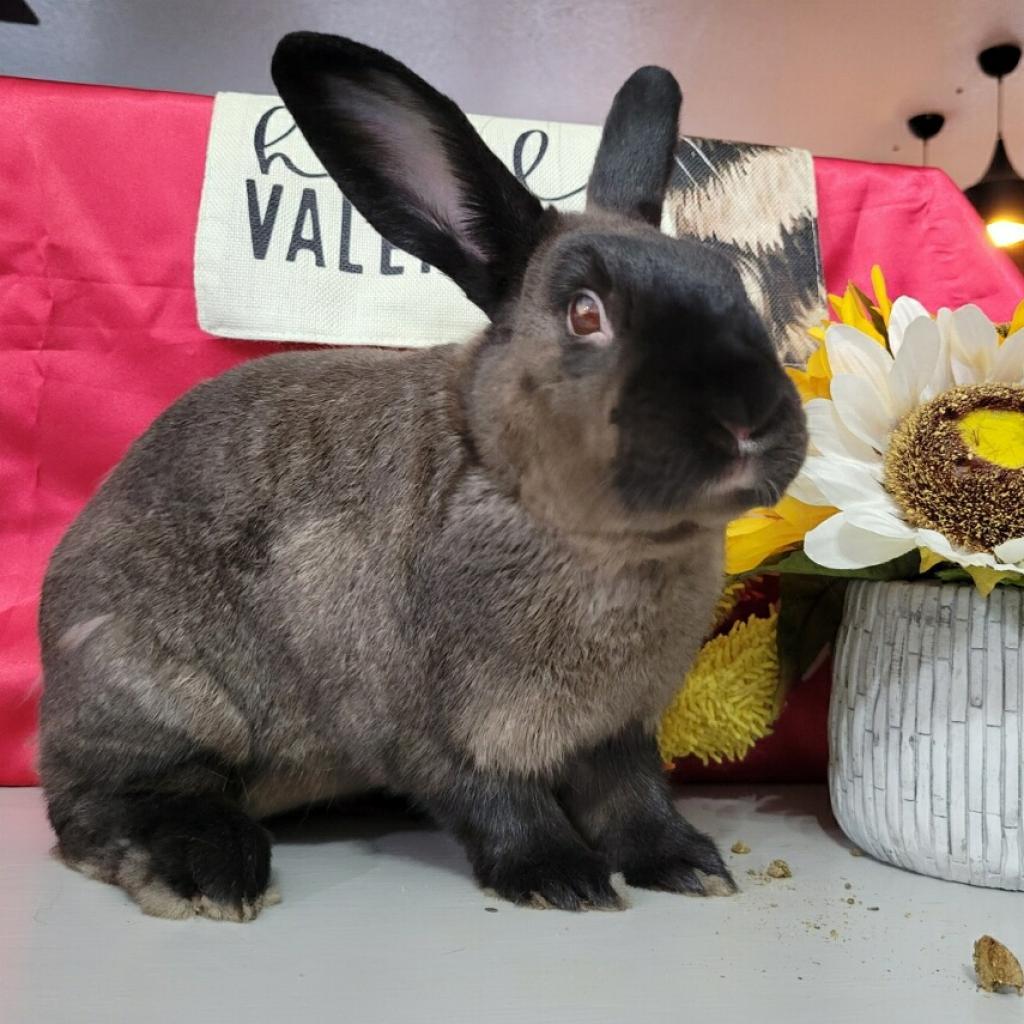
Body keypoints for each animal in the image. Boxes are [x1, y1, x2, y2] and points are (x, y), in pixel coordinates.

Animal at [37, 31, 807, 922]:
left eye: (733, 286)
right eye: (585, 314)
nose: (749, 418)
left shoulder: (617, 734)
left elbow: (634, 798)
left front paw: (686, 864)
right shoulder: (434, 729)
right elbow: (497, 801)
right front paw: (561, 878)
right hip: (154, 688)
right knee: (106, 803)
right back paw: (207, 873)